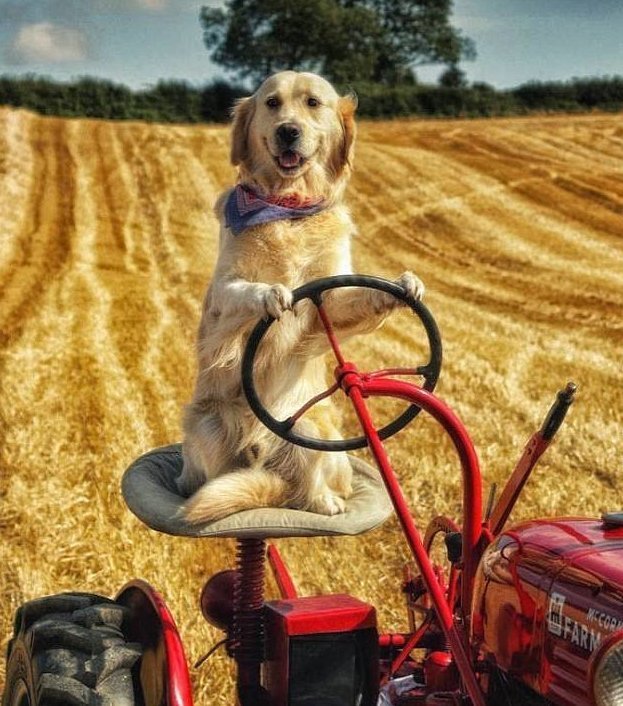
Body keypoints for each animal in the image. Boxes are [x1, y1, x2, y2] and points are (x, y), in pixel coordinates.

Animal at [178, 71, 426, 524]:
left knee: (305, 486)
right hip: (210, 426)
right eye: (272, 103)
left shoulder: (331, 296)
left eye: (313, 103)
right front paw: (270, 294)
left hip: (313, 432)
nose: (287, 132)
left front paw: (405, 284)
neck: (288, 207)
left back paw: (325, 501)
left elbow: (360, 295)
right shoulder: (223, 293)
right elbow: (246, 290)